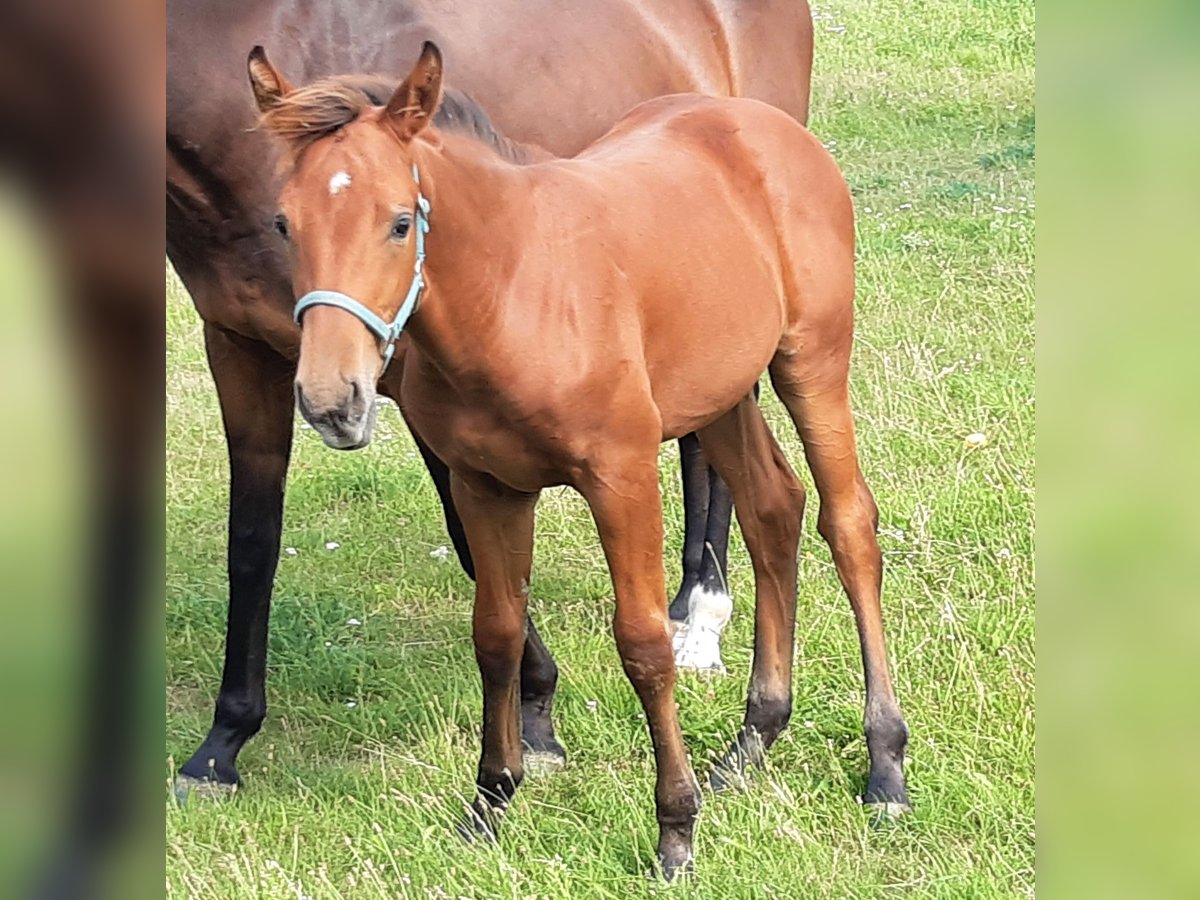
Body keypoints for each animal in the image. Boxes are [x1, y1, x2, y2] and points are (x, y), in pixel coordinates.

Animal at [169, 0, 816, 796]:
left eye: (401, 223)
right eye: (283, 224)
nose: (332, 402)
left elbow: (468, 538)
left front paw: (537, 721)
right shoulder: (237, 345)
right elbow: (253, 542)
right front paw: (221, 743)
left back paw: (701, 618)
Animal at [250, 44, 907, 883]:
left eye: (399, 222)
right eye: (284, 222)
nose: (332, 399)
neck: (514, 295)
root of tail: (765, 125)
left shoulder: (621, 477)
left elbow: (645, 646)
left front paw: (675, 832)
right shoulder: (485, 486)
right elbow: (496, 634)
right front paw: (490, 800)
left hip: (812, 360)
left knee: (849, 524)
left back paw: (885, 765)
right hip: (721, 391)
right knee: (773, 510)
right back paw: (751, 741)